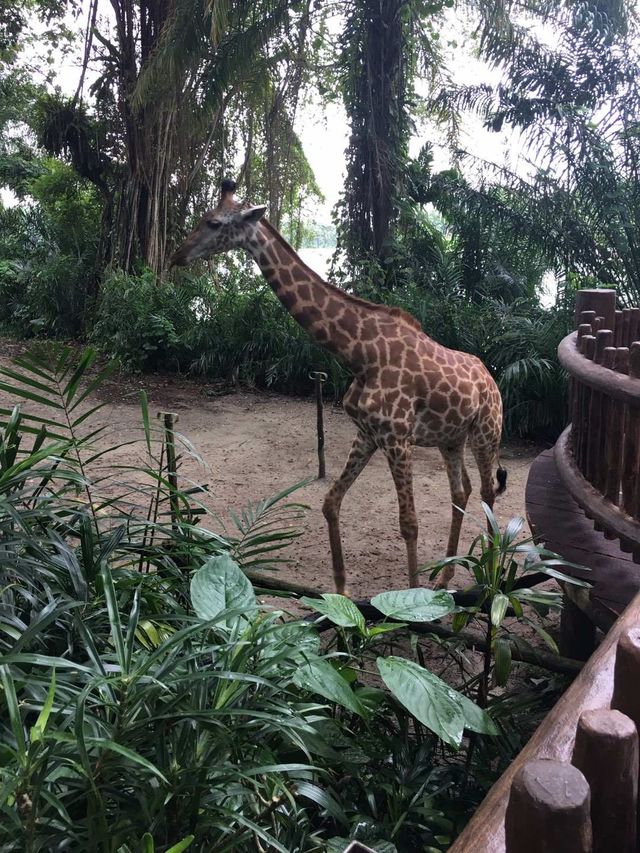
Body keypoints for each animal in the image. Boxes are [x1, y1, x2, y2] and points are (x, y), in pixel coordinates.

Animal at [169, 180, 504, 592]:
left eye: (213, 222)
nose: (178, 254)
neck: (359, 354)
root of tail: (490, 378)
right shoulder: (368, 433)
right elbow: (330, 503)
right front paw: (341, 589)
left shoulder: (397, 438)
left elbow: (409, 524)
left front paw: (414, 599)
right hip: (450, 438)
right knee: (462, 491)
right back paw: (445, 576)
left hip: (486, 431)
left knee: (487, 493)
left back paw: (489, 579)